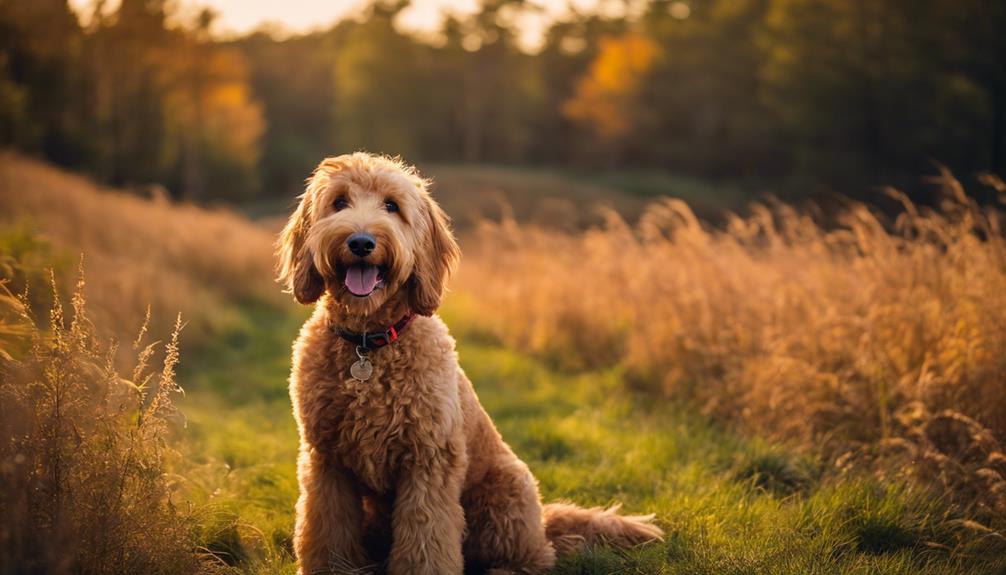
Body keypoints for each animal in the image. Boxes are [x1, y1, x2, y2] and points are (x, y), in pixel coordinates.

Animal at [279, 153, 663, 575]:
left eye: (391, 206)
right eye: (339, 203)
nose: (361, 242)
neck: (370, 345)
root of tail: (543, 524)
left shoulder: (429, 460)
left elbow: (426, 539)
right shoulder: (326, 460)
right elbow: (327, 529)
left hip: (506, 495)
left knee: (532, 558)